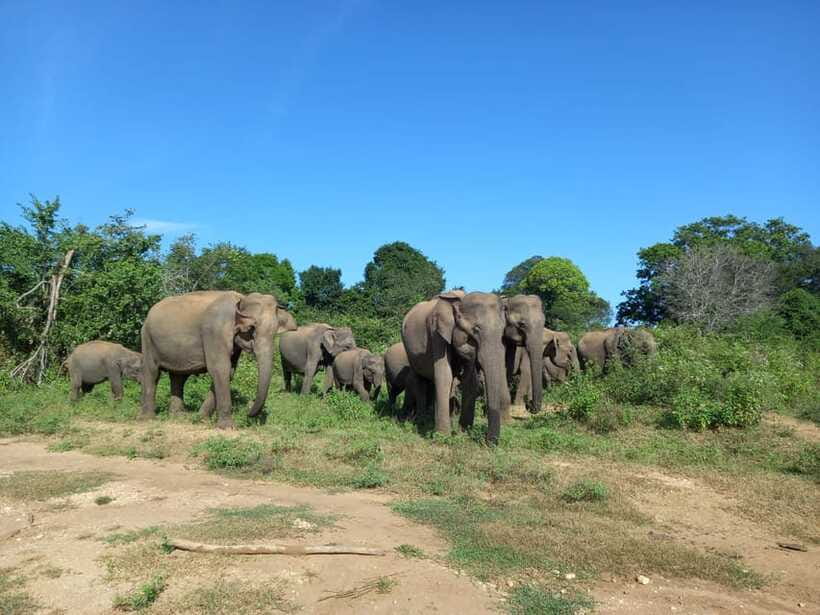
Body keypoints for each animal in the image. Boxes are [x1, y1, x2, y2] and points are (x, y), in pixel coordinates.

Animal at [140, 291, 295, 429]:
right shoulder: (214, 331)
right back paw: (148, 419)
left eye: (275, 332)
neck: (242, 298)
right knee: (152, 372)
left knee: (178, 377)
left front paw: (200, 418)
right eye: (252, 329)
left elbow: (229, 371)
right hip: (147, 338)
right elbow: (220, 368)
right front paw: (228, 427)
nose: (248, 409)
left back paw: (178, 416)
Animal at [402, 291, 511, 444]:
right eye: (475, 329)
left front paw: (464, 431)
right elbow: (444, 375)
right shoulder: (437, 333)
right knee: (420, 381)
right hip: (409, 351)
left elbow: (470, 381)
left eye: (502, 331)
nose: (488, 442)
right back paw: (421, 421)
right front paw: (442, 437)